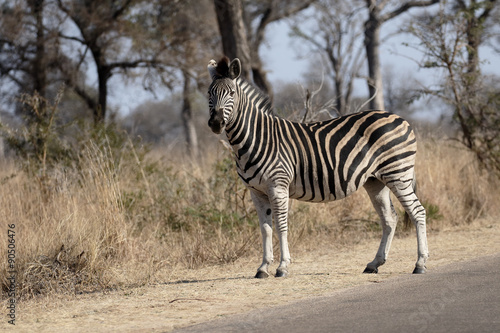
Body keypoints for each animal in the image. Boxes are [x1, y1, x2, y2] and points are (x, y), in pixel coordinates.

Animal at [207, 57, 430, 278]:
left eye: (232, 93)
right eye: (209, 93)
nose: (216, 123)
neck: (257, 138)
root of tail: (400, 118)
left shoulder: (278, 186)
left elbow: (281, 226)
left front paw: (282, 266)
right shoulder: (256, 192)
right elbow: (265, 229)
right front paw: (263, 267)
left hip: (398, 174)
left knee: (418, 212)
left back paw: (420, 263)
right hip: (376, 181)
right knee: (389, 219)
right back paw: (375, 263)